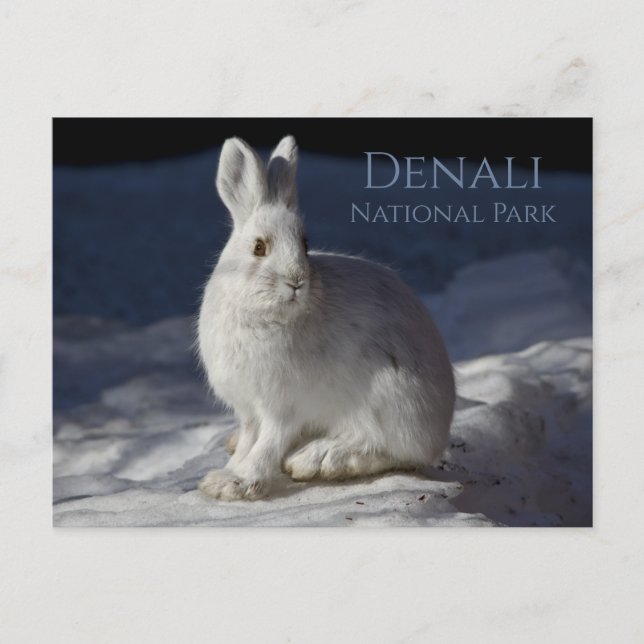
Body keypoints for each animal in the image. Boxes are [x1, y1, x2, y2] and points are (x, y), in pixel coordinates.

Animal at [197, 135, 455, 501]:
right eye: (259, 247)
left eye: (305, 245)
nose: (296, 280)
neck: (268, 315)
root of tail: (440, 425)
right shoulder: (249, 408)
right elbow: (250, 439)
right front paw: (224, 475)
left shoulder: (283, 406)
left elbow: (267, 443)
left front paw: (238, 483)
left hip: (389, 399)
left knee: (390, 450)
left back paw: (319, 458)